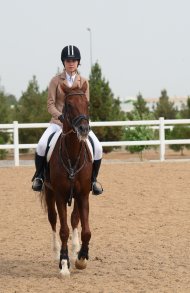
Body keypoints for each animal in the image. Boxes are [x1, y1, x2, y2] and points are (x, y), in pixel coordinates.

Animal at [41, 81, 93, 274]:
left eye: (87, 103)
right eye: (69, 105)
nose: (84, 129)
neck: (72, 154)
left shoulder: (83, 195)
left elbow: (86, 230)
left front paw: (81, 258)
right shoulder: (60, 196)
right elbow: (63, 230)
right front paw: (64, 263)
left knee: (75, 220)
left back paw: (76, 249)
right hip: (49, 192)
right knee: (53, 219)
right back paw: (57, 253)